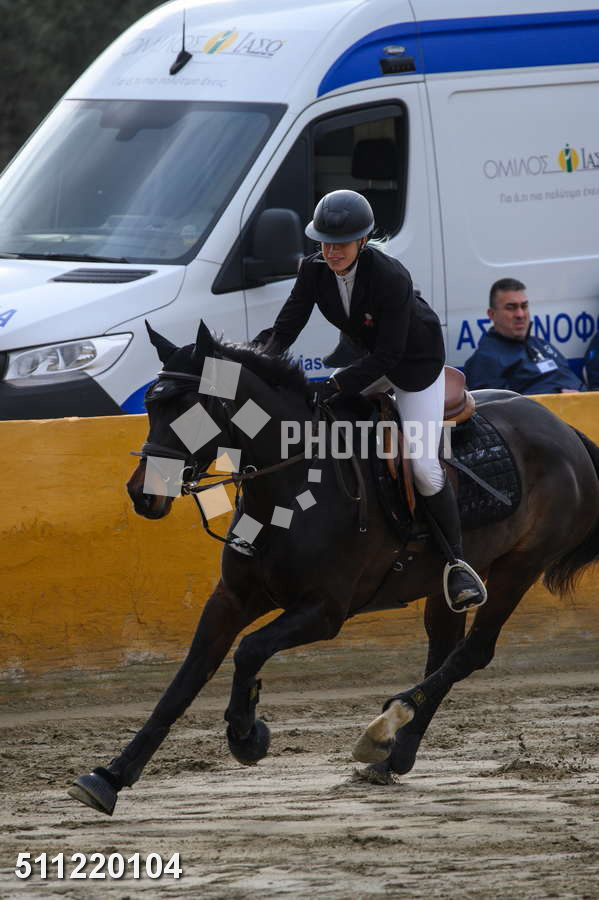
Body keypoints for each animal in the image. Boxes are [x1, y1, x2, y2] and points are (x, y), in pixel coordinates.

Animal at [68, 320, 599, 816]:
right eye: (152, 407)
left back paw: (387, 724)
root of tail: (563, 429)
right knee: (445, 649)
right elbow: (184, 682)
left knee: (473, 652)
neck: (289, 485)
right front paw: (110, 776)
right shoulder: (232, 599)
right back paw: (393, 754)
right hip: (442, 583)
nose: (143, 495)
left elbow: (249, 650)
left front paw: (247, 736)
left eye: (192, 408)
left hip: (518, 568)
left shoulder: (324, 612)